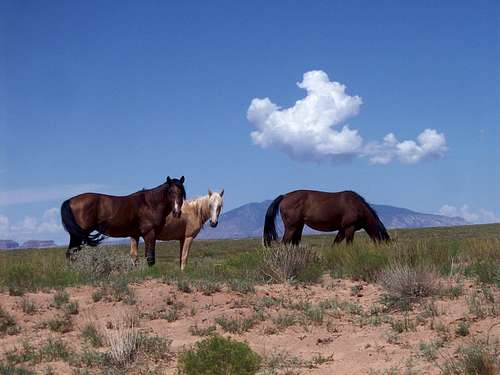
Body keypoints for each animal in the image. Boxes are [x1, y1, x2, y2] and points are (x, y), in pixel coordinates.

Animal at [262, 191, 390, 247]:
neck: (356, 205)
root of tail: (284, 196)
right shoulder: (349, 228)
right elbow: (349, 245)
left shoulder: (342, 230)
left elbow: (335, 244)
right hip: (291, 227)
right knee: (284, 243)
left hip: (299, 226)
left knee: (294, 243)